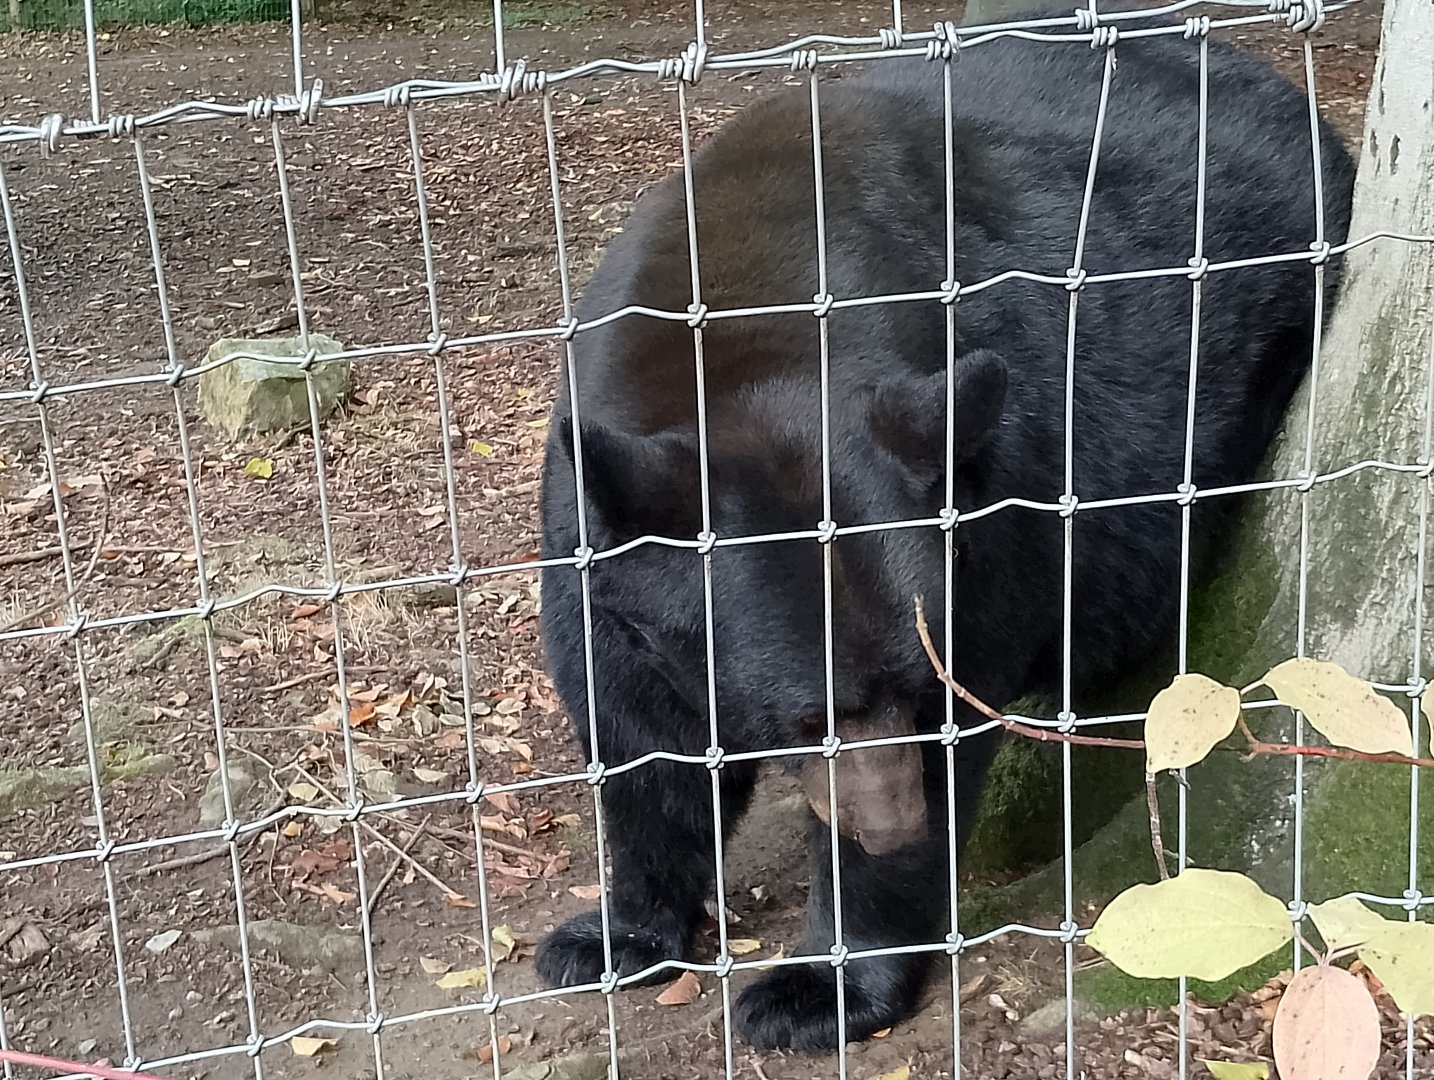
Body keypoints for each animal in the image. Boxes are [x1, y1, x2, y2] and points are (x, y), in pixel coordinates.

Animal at [533, 26, 1356, 1053]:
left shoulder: (991, 508)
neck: (741, 321)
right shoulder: (594, 536)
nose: (891, 823)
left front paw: (818, 988)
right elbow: (640, 744)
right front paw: (611, 935)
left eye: (917, 691)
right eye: (804, 717)